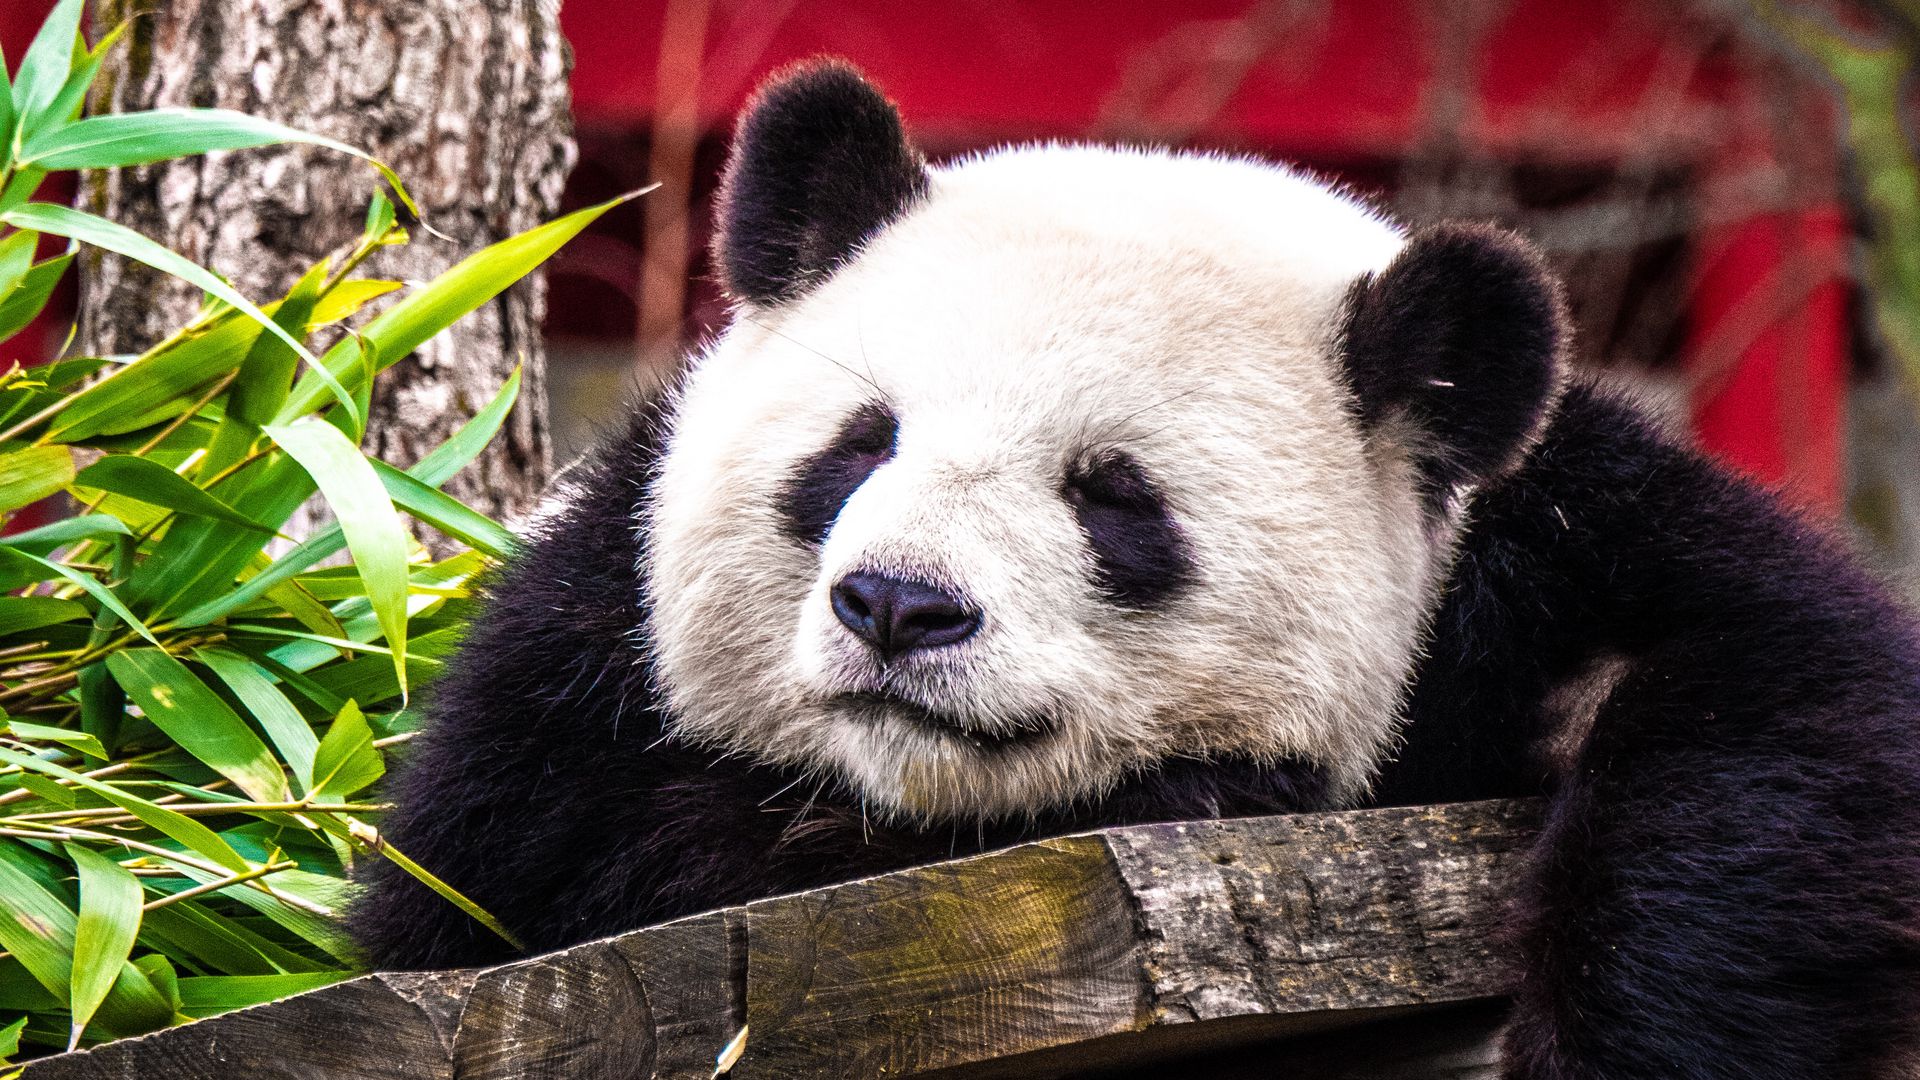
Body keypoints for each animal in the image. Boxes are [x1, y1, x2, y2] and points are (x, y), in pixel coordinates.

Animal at [353, 61, 1920, 1076]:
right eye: (860, 446)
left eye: (1114, 500)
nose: (899, 607)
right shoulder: (571, 664)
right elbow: (517, 885)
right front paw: (1205, 791)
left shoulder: (1537, 543)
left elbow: (1776, 697)